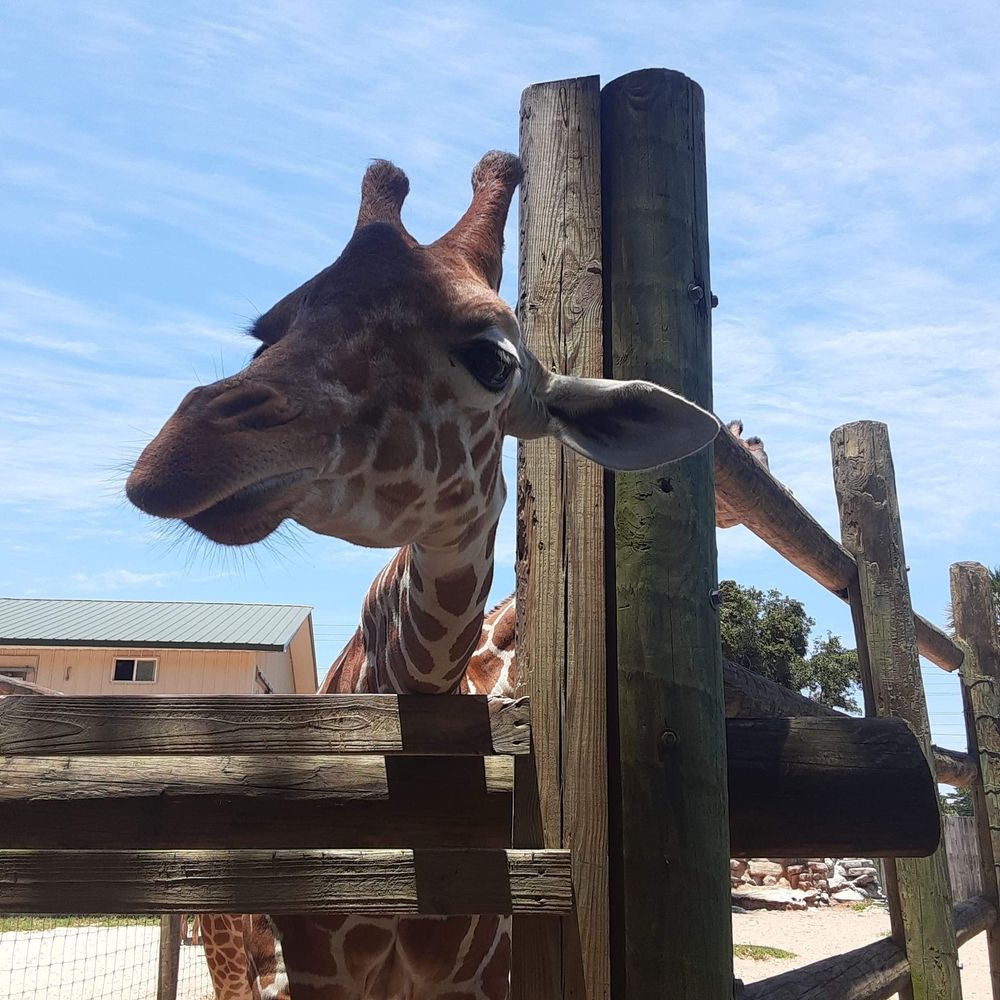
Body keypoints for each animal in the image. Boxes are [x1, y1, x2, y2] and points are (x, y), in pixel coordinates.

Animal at [127, 151, 721, 999]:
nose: (180, 454)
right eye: (266, 332)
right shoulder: (315, 973)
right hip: (230, 955)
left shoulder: (475, 980)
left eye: (491, 360)